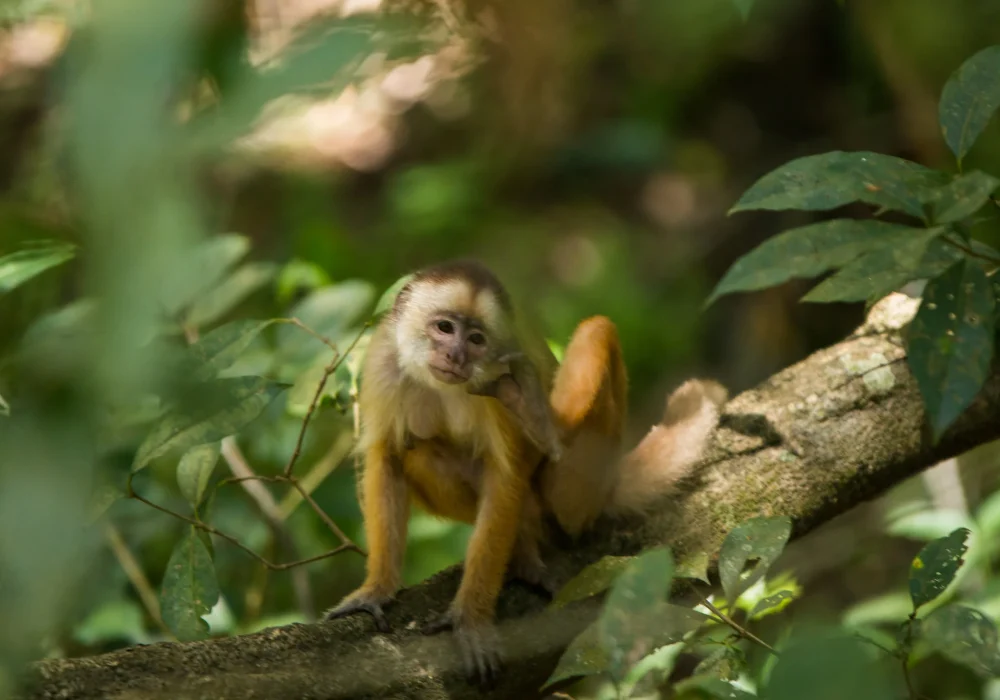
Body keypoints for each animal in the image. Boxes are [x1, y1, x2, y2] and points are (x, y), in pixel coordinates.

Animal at [324, 259, 726, 684]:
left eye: (476, 339)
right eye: (445, 328)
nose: (455, 355)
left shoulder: (495, 374)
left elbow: (505, 474)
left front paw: (471, 621)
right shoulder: (384, 361)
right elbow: (386, 457)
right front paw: (377, 589)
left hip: (576, 491)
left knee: (596, 332)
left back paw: (540, 422)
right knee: (421, 452)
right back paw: (523, 543)